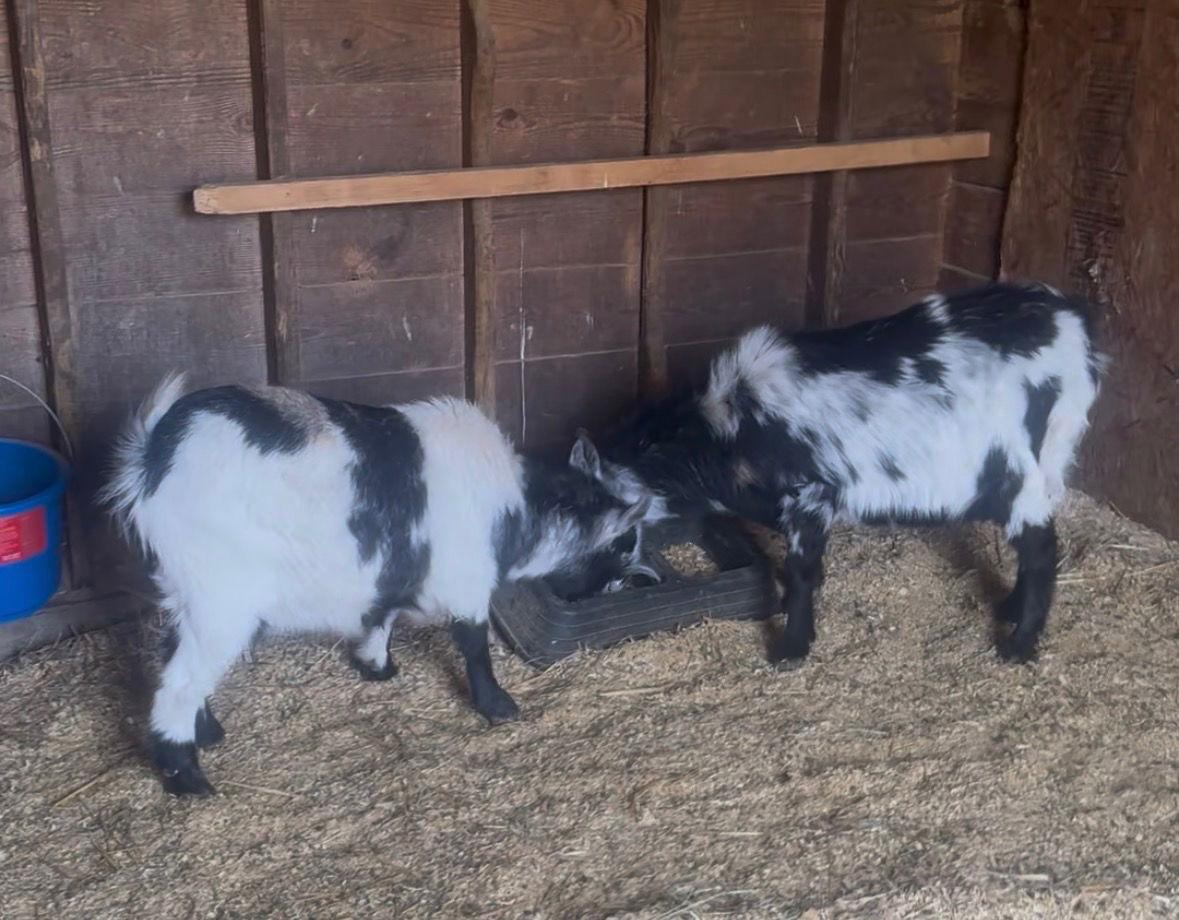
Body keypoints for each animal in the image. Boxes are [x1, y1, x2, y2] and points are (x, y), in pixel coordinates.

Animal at [102, 377, 647, 796]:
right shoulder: (467, 580)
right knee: (179, 681)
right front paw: (498, 707)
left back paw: (209, 731)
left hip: (186, 591)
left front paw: (377, 667)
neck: (518, 505)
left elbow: (381, 615)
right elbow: (474, 643)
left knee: (176, 653)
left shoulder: (388, 573)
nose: (622, 584)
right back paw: (187, 776)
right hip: (220, 598)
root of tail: (152, 458)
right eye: (623, 545)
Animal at [576, 282, 1105, 666]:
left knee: (1040, 548)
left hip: (1017, 470)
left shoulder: (810, 495)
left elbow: (801, 570)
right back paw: (1010, 610)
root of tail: (1072, 325)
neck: (727, 429)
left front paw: (791, 647)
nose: (579, 592)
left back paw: (1019, 644)